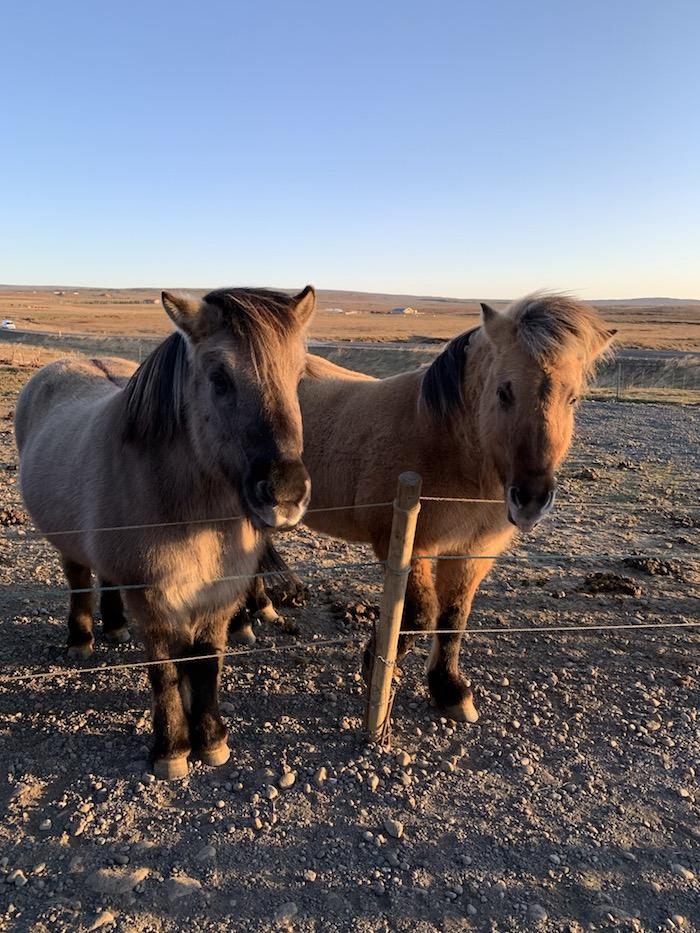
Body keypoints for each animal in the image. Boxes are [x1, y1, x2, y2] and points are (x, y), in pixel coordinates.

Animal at [15, 286, 316, 780]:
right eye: (220, 379)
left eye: (298, 376)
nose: (286, 494)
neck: (192, 514)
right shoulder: (152, 599)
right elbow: (164, 668)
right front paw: (172, 747)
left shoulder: (218, 595)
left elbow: (205, 662)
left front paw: (211, 739)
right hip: (69, 546)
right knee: (79, 580)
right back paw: (82, 640)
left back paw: (115, 626)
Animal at [238, 294, 616, 716]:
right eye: (504, 392)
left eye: (573, 398)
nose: (531, 499)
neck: (444, 441)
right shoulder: (406, 544)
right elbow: (419, 614)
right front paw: (374, 666)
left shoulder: (472, 550)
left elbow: (453, 616)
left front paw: (448, 688)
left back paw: (260, 607)